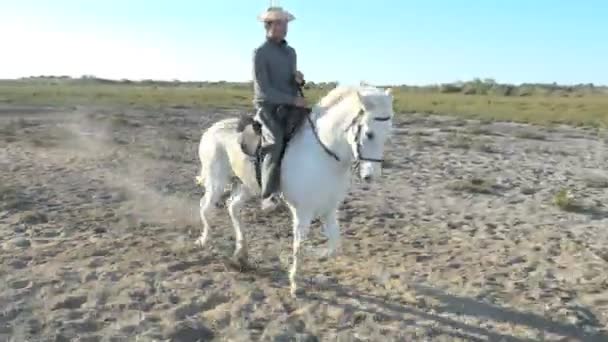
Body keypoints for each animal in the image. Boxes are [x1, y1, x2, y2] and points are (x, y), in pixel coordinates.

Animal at [195, 84, 394, 296]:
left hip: (247, 186)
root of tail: (212, 129)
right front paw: (294, 283)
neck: (323, 155)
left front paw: (317, 255)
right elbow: (299, 244)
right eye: (369, 134)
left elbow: (334, 246)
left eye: (388, 133)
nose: (372, 175)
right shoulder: (302, 212)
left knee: (232, 207)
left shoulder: (329, 210)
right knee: (205, 208)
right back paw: (204, 241)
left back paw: (241, 254)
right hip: (216, 180)